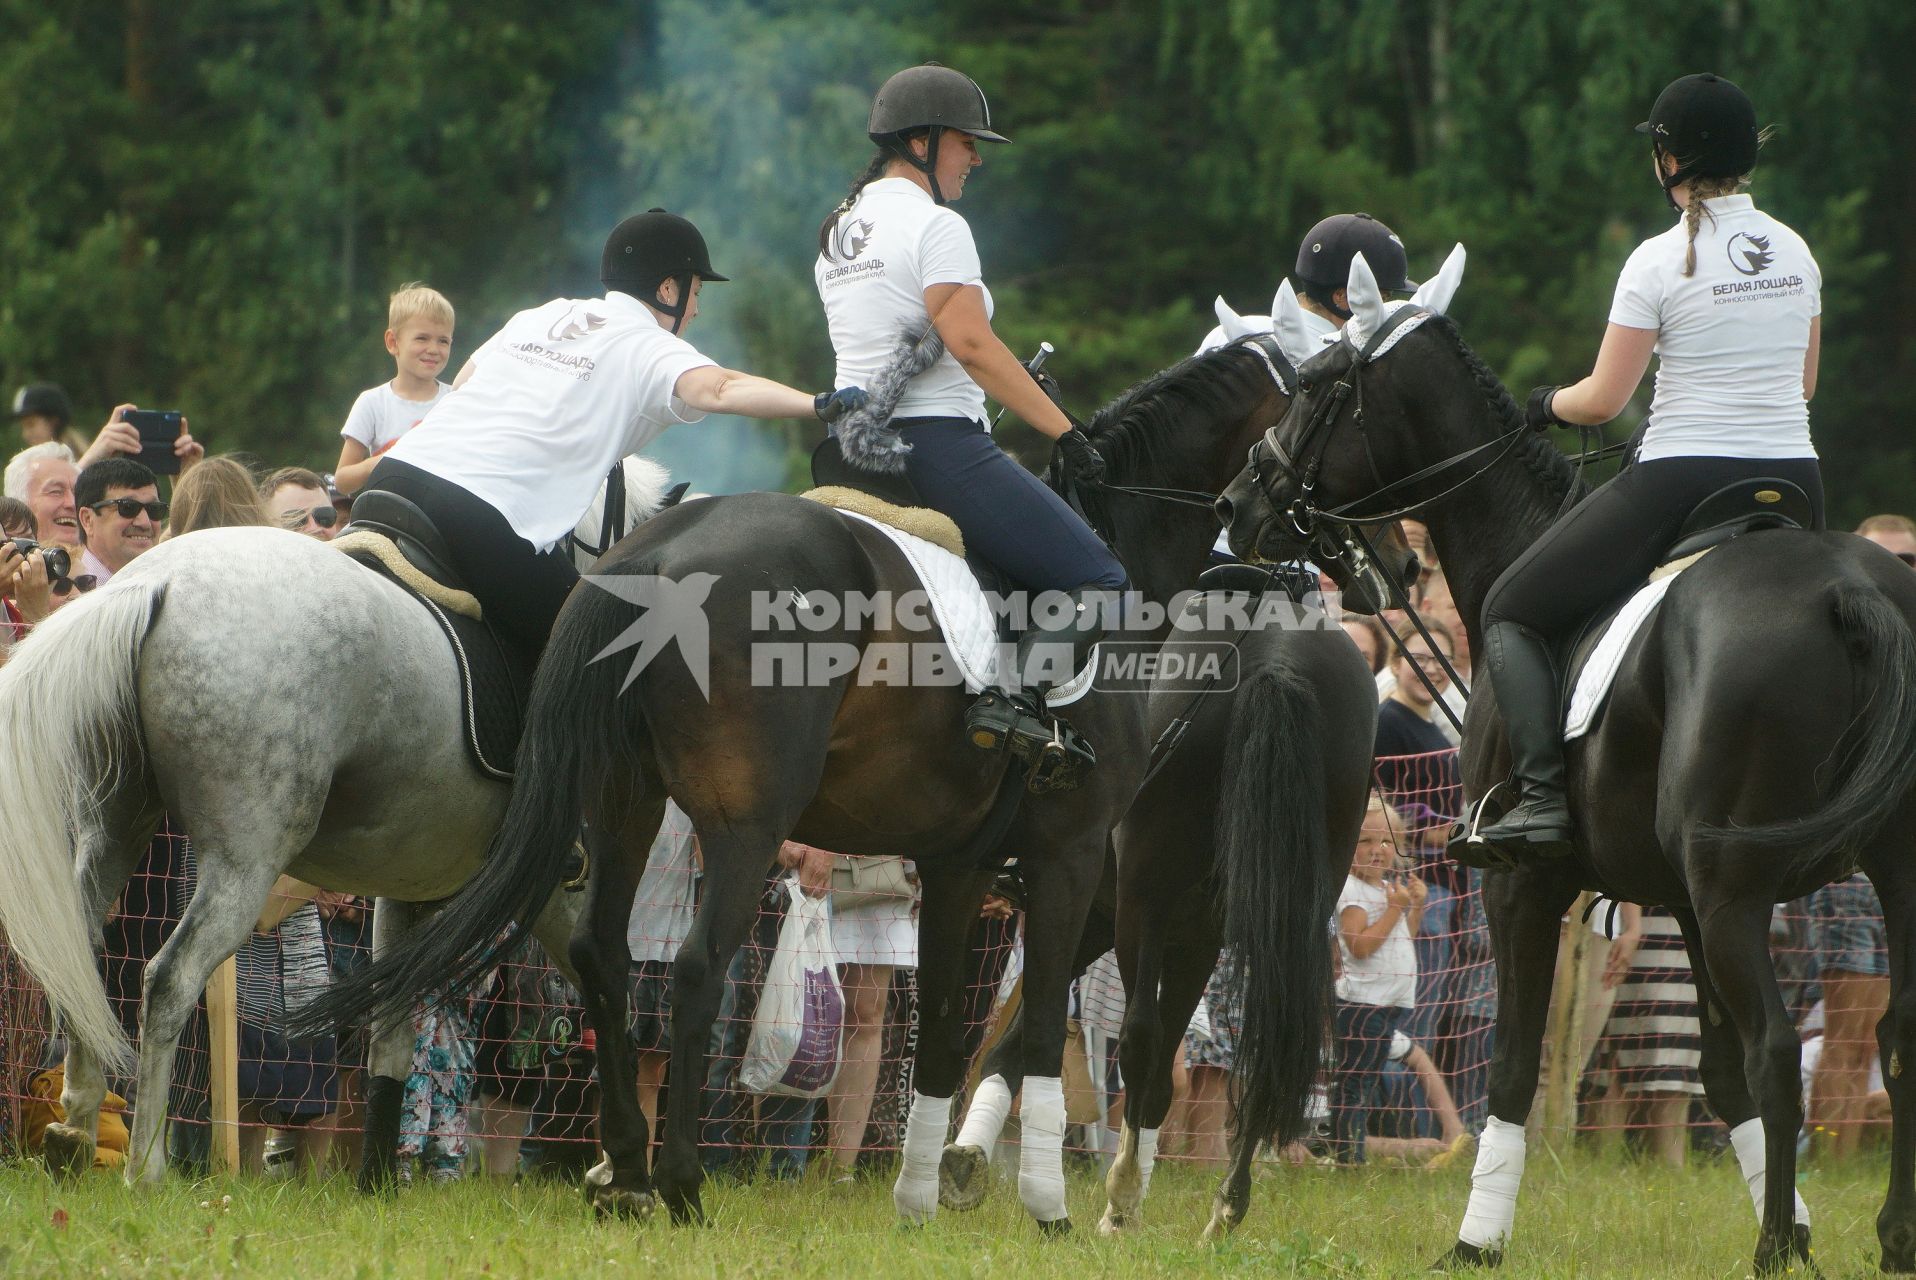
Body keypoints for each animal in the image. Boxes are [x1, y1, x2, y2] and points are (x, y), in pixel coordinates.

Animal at [302, 335, 1318, 1234]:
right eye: (1315, 392)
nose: (1278, 541)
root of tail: (658, 551)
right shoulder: (1066, 854)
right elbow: (1033, 1031)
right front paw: (1045, 1205)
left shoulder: (959, 865)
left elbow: (942, 1030)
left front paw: (916, 1201)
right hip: (747, 825)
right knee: (695, 972)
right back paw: (678, 1182)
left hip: (627, 804)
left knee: (602, 956)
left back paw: (624, 1167)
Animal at [1218, 297, 1916, 1272]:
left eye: (1316, 385)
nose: (1239, 501)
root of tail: (1854, 593)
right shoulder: (1679, 902)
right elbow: (1715, 1073)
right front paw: (1810, 1222)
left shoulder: (1524, 885)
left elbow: (1513, 1068)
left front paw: (1475, 1242)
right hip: (1878, 873)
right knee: (1897, 1035)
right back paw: (1891, 1236)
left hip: (1736, 888)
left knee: (1780, 1050)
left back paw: (1774, 1249)